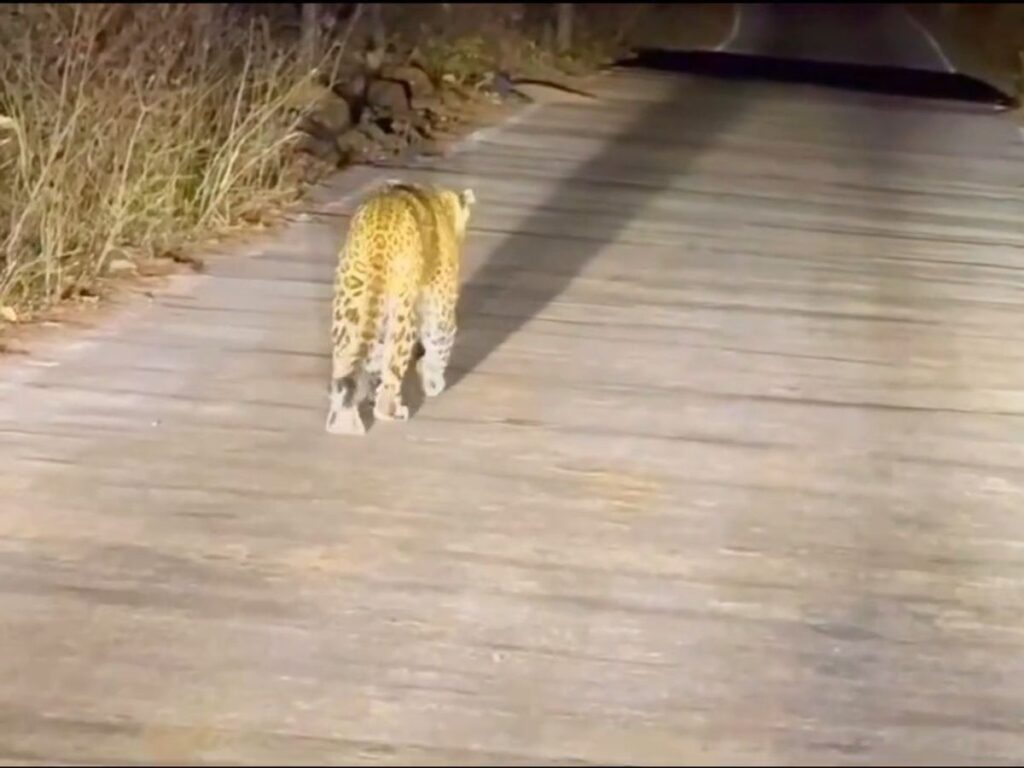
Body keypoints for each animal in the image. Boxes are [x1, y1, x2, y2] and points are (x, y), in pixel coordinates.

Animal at [325, 178, 476, 436]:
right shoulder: (440, 299)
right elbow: (440, 338)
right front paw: (432, 381)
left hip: (350, 300)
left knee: (347, 362)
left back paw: (343, 421)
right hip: (402, 311)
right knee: (394, 364)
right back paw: (391, 410)